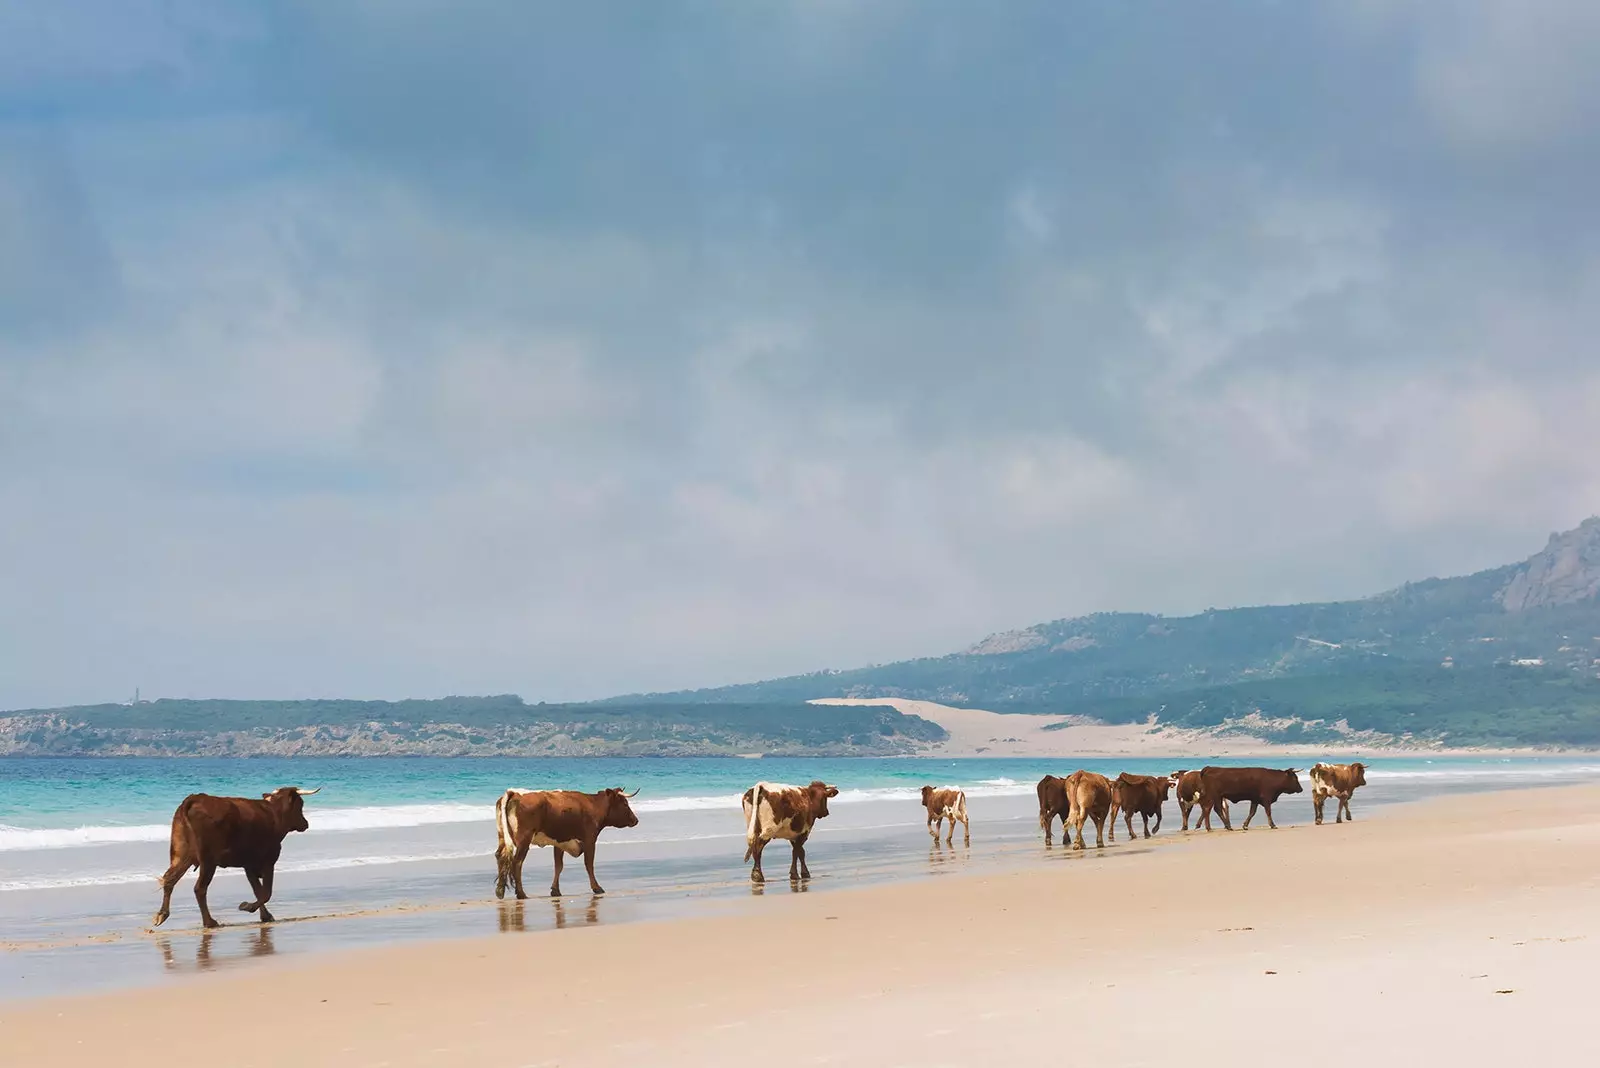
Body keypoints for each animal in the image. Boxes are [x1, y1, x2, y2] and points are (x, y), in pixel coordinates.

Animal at [151, 780, 320, 927]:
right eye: (300, 805)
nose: (305, 823)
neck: (274, 813)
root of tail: (194, 798)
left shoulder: (249, 864)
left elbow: (258, 891)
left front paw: (265, 915)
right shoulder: (268, 861)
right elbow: (266, 892)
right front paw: (247, 907)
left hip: (181, 855)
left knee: (169, 880)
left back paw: (162, 915)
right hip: (208, 861)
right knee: (199, 888)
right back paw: (209, 922)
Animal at [489, 789, 640, 895]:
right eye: (625, 804)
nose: (636, 820)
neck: (593, 805)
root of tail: (514, 793)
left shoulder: (559, 843)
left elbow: (558, 866)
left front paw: (555, 890)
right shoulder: (590, 840)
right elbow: (589, 864)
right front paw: (597, 888)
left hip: (502, 836)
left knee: (500, 856)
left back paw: (500, 891)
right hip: (524, 839)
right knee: (517, 862)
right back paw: (521, 894)